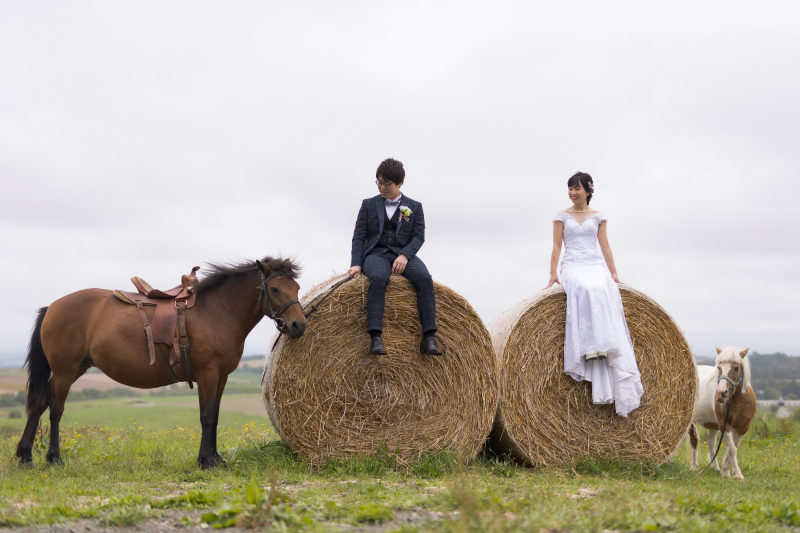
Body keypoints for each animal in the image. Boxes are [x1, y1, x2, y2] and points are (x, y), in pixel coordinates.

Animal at [15, 256, 304, 468]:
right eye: (274, 288)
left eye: (297, 288)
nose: (298, 325)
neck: (218, 310)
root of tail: (52, 307)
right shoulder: (208, 373)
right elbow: (206, 416)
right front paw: (206, 461)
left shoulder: (222, 376)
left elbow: (216, 416)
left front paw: (217, 457)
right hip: (66, 369)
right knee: (55, 408)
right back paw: (53, 458)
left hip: (78, 367)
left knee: (40, 402)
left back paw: (25, 455)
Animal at [688, 344, 756, 478]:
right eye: (719, 367)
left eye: (736, 368)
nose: (721, 393)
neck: (739, 401)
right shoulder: (726, 425)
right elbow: (732, 449)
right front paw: (735, 474)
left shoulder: (742, 427)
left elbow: (733, 448)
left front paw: (726, 470)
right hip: (693, 420)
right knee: (694, 440)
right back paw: (694, 466)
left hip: (714, 424)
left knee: (711, 441)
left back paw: (715, 467)